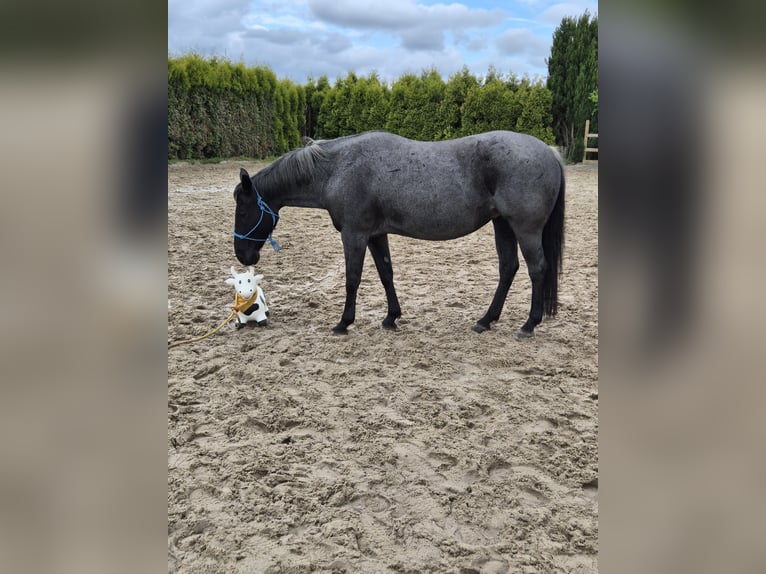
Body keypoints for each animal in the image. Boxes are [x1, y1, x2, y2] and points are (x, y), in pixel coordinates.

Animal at [232, 130, 564, 338]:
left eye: (243, 211)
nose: (243, 255)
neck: (338, 168)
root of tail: (549, 153)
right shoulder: (376, 235)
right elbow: (386, 274)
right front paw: (391, 317)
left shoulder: (354, 235)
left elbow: (353, 279)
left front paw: (343, 323)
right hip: (503, 225)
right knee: (508, 268)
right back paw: (485, 320)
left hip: (525, 228)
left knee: (537, 269)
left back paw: (529, 324)